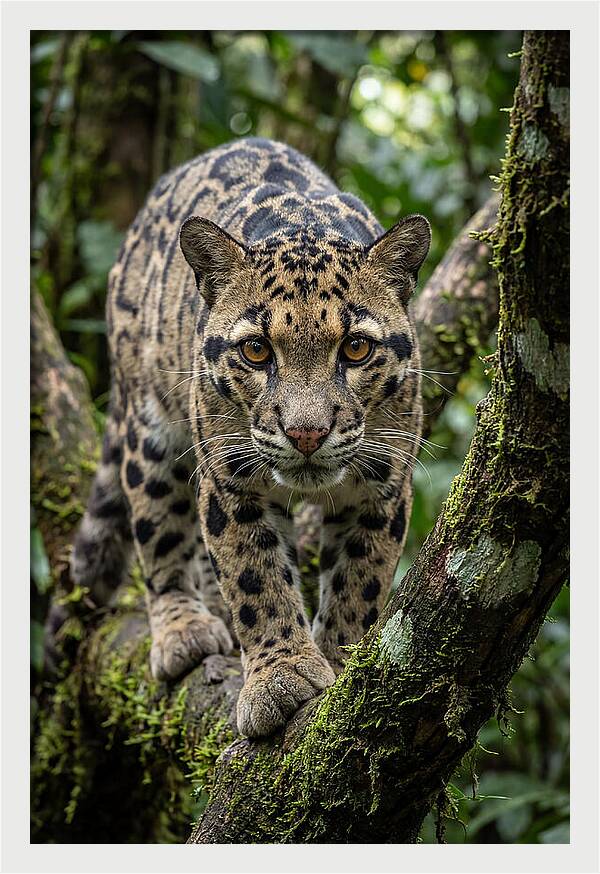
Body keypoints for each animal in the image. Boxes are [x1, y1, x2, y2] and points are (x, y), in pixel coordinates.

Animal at [71, 136, 430, 738]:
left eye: (356, 348)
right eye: (257, 350)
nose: (306, 433)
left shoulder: (383, 483)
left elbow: (360, 580)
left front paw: (340, 661)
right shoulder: (230, 478)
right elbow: (254, 576)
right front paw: (280, 679)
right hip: (149, 429)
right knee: (158, 531)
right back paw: (184, 629)